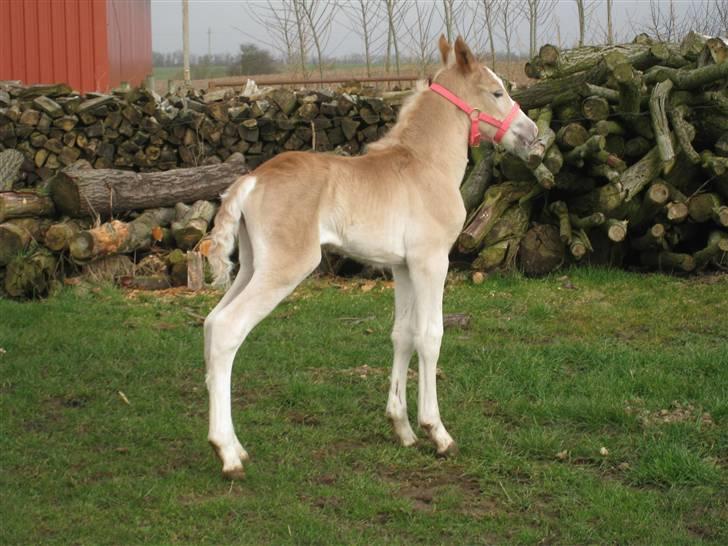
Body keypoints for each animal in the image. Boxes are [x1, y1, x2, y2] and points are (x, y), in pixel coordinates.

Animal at [202, 37, 536, 476]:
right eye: (497, 92)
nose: (531, 133)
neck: (426, 164)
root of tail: (251, 179)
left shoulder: (403, 267)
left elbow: (402, 335)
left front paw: (403, 429)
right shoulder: (431, 261)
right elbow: (431, 336)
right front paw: (438, 433)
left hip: (253, 265)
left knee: (211, 323)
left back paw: (234, 446)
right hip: (285, 267)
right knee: (228, 329)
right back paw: (227, 453)